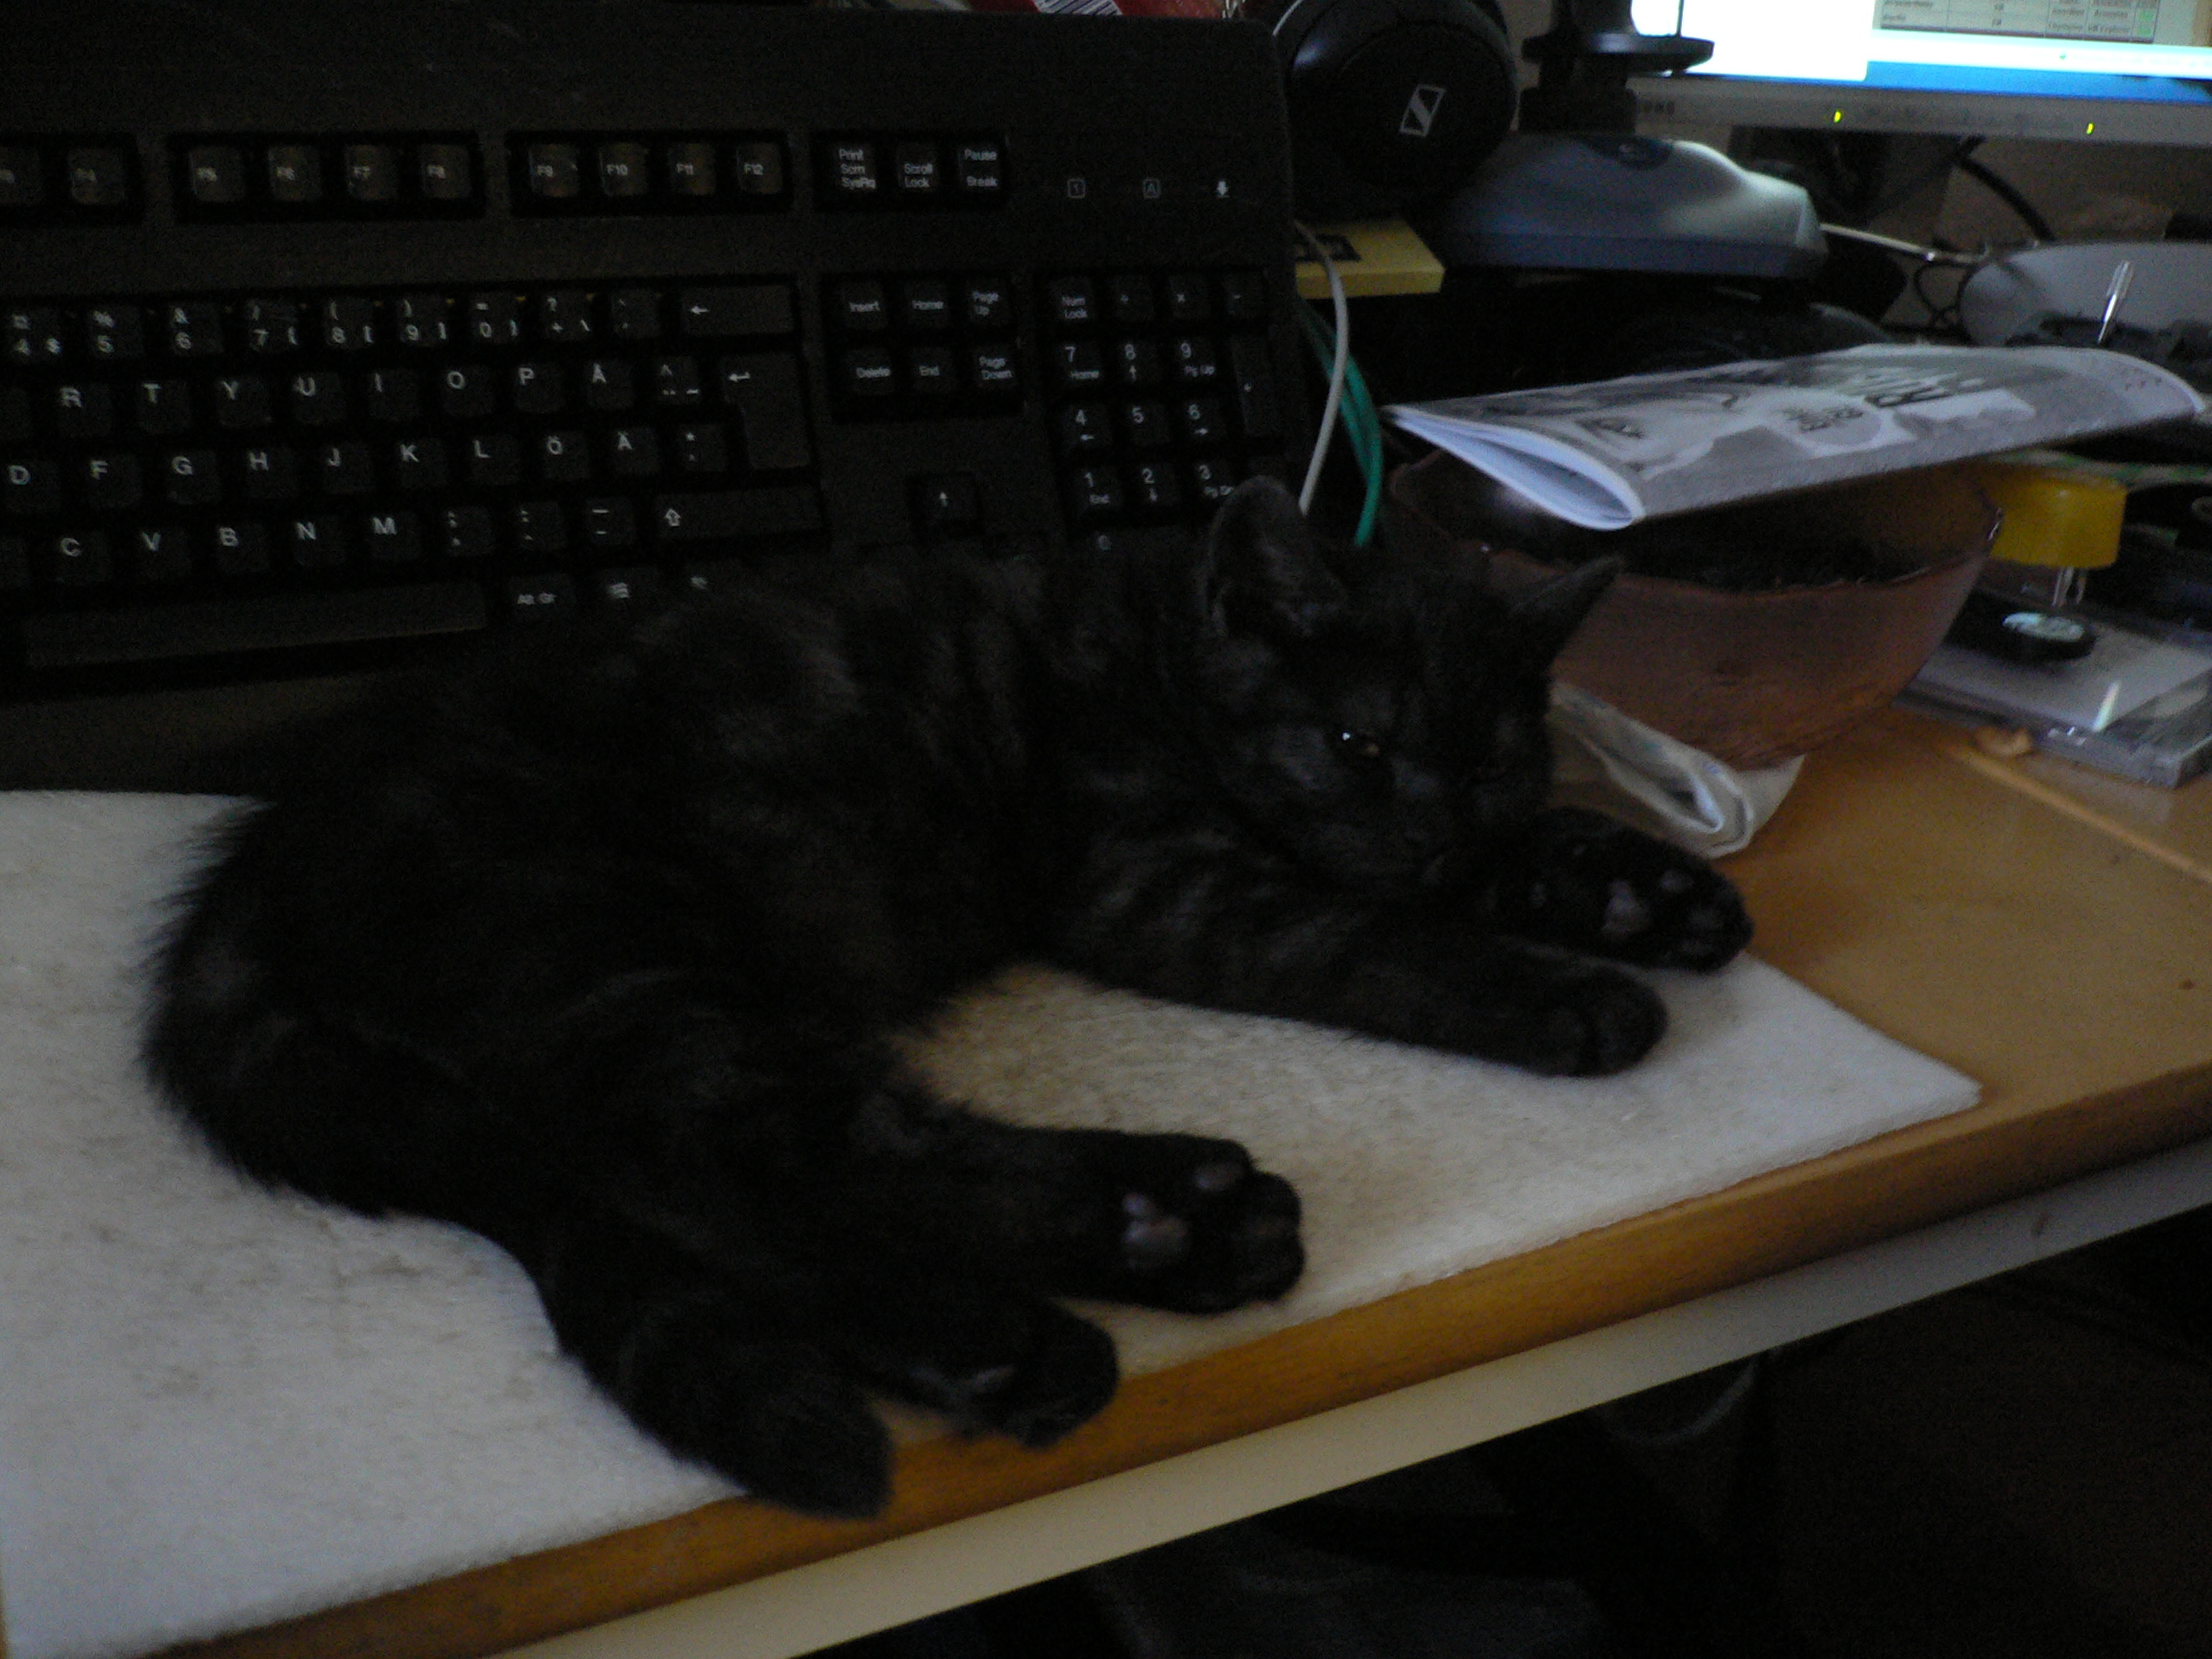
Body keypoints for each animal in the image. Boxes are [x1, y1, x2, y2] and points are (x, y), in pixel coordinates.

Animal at [143, 476, 1750, 1517]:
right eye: (1357, 740)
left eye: (1491, 757)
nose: (1423, 829)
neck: (1167, 643)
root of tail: (264, 857)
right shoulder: (1157, 884)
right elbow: (1373, 942)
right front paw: (1562, 989)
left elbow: (1508, 863)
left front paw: (1641, 892)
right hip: (610, 953)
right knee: (749, 1158)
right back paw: (1150, 1235)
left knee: (673, 1196)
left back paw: (1032, 1326)